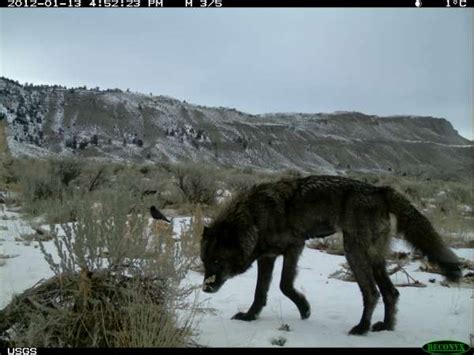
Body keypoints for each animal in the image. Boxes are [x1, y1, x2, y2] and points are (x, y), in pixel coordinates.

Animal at [200, 177, 462, 336]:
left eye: (218, 262)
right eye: (204, 261)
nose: (205, 288)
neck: (254, 218)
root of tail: (380, 190)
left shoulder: (295, 246)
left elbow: (285, 285)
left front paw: (305, 309)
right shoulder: (267, 258)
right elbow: (260, 293)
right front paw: (249, 316)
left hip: (353, 253)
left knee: (372, 293)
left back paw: (362, 328)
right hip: (374, 258)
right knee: (391, 292)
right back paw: (385, 327)